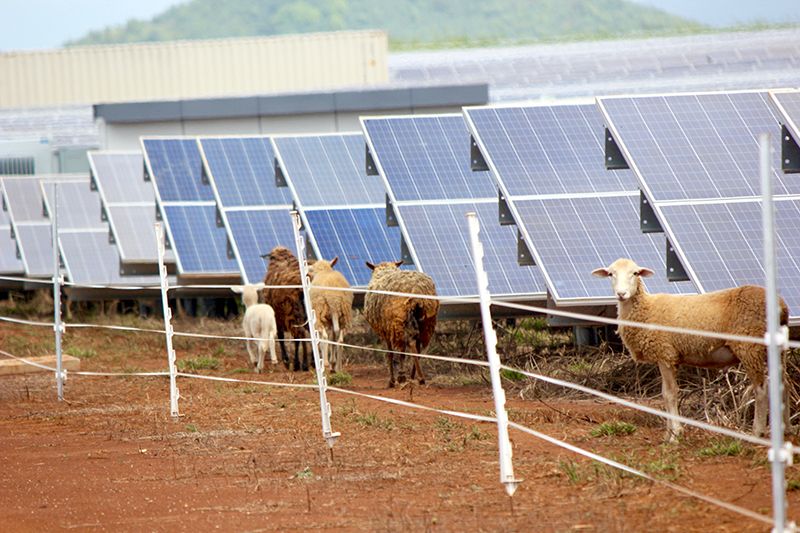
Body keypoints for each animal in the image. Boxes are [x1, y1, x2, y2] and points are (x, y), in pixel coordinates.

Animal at [362, 258, 438, 386]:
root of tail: (416, 291)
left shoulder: (387, 329)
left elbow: (390, 353)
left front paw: (392, 380)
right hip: (427, 321)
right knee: (418, 346)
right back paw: (415, 376)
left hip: (400, 320)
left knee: (407, 345)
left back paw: (408, 376)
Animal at [592, 258, 792, 440]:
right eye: (610, 274)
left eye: (635, 273)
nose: (621, 293)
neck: (645, 309)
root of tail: (782, 307)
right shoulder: (665, 357)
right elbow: (664, 394)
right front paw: (668, 433)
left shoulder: (666, 354)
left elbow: (670, 394)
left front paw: (675, 434)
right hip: (776, 347)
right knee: (784, 385)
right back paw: (787, 430)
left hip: (750, 347)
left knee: (761, 389)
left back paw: (757, 432)